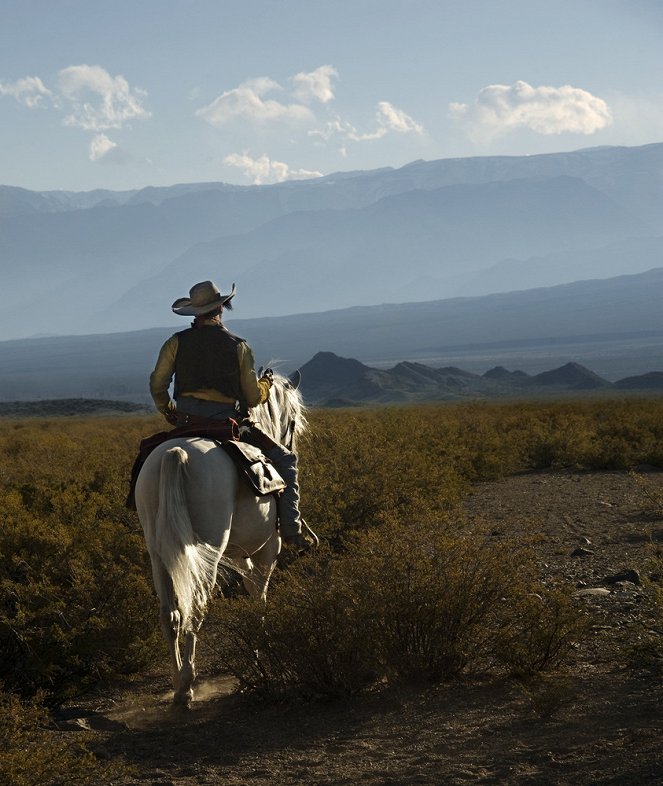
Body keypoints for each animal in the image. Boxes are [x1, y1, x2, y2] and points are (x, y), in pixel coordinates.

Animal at [139, 374, 310, 704]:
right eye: (293, 419)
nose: (290, 444)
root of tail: (174, 454)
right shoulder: (267, 549)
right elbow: (259, 594)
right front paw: (261, 646)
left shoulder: (239, 553)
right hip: (208, 552)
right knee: (196, 608)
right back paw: (188, 682)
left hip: (159, 552)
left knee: (170, 614)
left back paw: (178, 682)